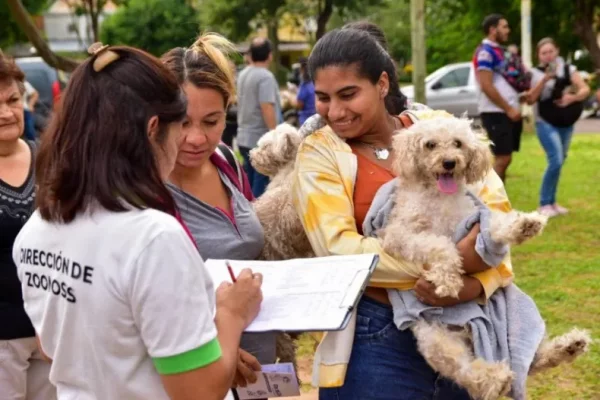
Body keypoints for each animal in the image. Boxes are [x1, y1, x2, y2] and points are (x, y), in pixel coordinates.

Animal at [380, 117, 592, 400]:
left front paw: (524, 225)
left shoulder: (473, 220)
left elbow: (494, 228)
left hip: (512, 322)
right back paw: (495, 378)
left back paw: (569, 345)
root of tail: (467, 331)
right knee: (465, 370)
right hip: (435, 338)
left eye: (458, 143)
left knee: (531, 359)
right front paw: (448, 279)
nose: (449, 162)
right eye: (430, 144)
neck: (439, 197)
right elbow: (438, 244)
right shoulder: (397, 235)